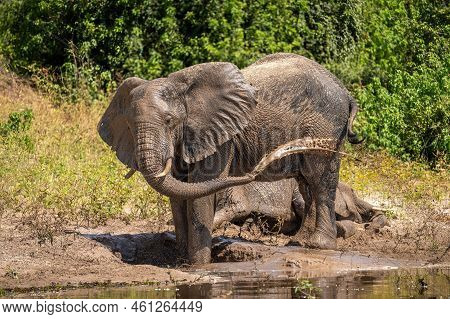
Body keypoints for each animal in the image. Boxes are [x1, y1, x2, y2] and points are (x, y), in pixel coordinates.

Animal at [97, 53, 362, 264]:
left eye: (169, 120)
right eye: (129, 126)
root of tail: (346, 92)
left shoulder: (219, 136)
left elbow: (199, 191)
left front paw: (199, 266)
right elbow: (178, 192)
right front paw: (180, 259)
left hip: (326, 126)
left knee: (320, 180)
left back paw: (319, 245)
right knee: (306, 183)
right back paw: (299, 242)